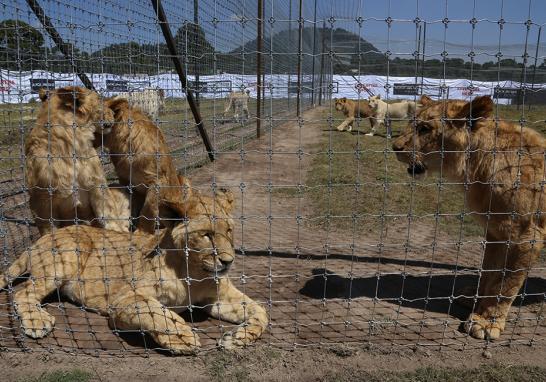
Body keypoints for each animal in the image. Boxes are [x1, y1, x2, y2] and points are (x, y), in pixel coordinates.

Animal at [27, 87, 130, 236]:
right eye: (99, 100)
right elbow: (49, 232)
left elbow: (111, 217)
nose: (114, 114)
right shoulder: (41, 205)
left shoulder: (99, 185)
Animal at [102, 97, 189, 233]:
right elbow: (131, 206)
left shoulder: (158, 180)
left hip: (183, 181)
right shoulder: (126, 181)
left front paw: (141, 232)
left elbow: (148, 209)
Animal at [392, 95, 544, 340]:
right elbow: (489, 272)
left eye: (425, 129)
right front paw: (475, 300)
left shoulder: (526, 236)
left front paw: (487, 322)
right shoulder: (496, 232)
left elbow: (506, 283)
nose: (395, 147)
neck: (476, 167)